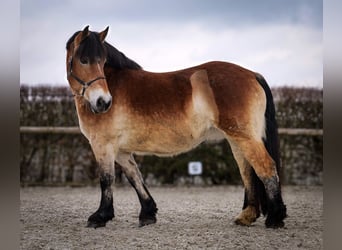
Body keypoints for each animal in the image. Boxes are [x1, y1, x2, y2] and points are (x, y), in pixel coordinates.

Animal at [66, 26, 286, 229]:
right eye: (84, 60)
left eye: (102, 62)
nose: (103, 102)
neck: (114, 84)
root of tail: (252, 74)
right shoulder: (121, 150)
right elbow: (135, 176)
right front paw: (148, 213)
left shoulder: (103, 145)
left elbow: (106, 179)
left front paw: (100, 217)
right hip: (236, 139)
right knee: (248, 172)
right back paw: (247, 216)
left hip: (244, 137)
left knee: (265, 167)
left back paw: (275, 218)